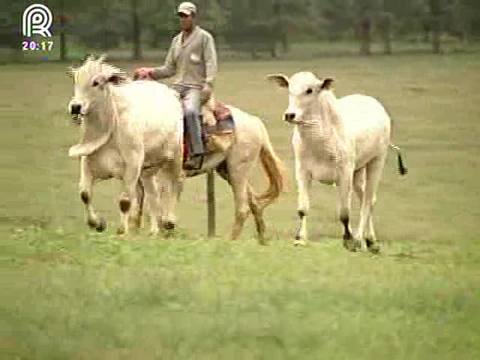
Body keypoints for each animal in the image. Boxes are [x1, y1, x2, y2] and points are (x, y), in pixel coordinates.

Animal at [65, 55, 182, 236]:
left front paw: (122, 231)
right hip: (147, 169)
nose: (76, 107)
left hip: (174, 156)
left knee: (175, 185)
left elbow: (125, 201)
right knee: (153, 194)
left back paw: (169, 221)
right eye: (76, 80)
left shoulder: (132, 164)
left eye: (96, 82)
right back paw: (154, 230)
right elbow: (85, 194)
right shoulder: (87, 162)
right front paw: (97, 223)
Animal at [268, 71, 406, 253]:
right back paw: (371, 240)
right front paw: (300, 239)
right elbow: (303, 208)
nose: (290, 115)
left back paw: (360, 239)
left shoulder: (344, 173)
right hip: (358, 171)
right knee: (366, 198)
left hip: (377, 161)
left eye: (310, 90)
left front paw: (348, 239)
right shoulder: (302, 171)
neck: (319, 141)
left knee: (368, 200)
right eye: (289, 89)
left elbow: (344, 212)